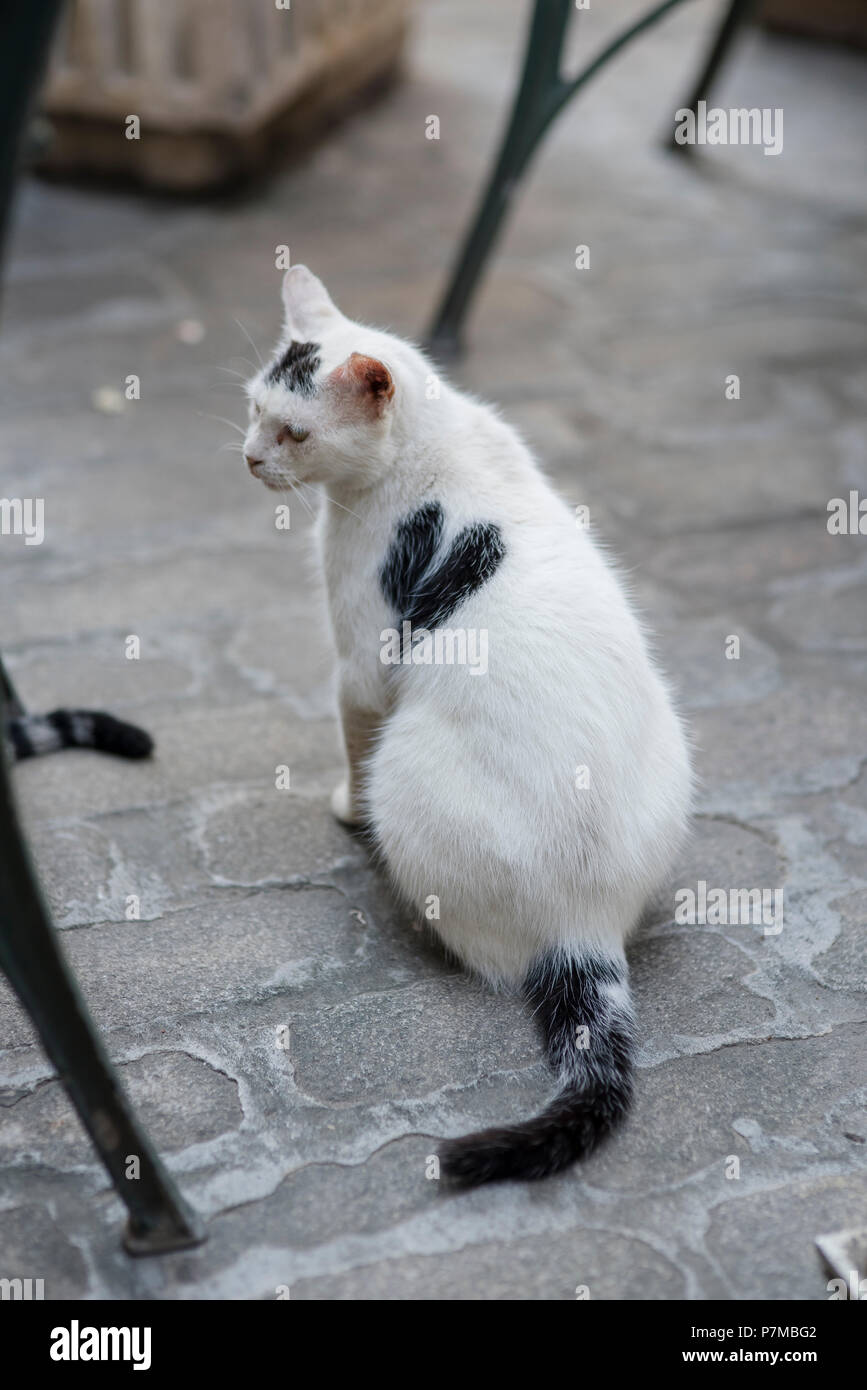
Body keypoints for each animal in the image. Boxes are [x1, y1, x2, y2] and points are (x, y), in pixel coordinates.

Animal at [240, 268, 694, 1184]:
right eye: (252, 408)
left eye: (294, 431)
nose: (250, 457)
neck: (432, 445)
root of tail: (584, 925)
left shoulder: (362, 664)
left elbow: (351, 735)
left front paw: (342, 811)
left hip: (409, 771)